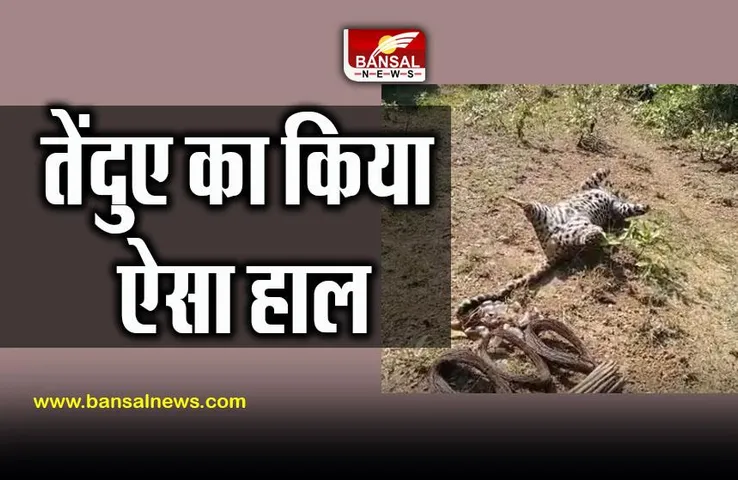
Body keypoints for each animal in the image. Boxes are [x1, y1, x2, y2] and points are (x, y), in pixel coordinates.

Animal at [452, 167, 650, 329]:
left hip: (559, 225)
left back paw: (598, 233)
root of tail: (553, 253)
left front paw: (641, 205)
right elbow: (599, 176)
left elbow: (629, 208)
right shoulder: (589, 186)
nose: (618, 192)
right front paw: (609, 174)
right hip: (550, 218)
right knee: (525, 205)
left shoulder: (616, 206)